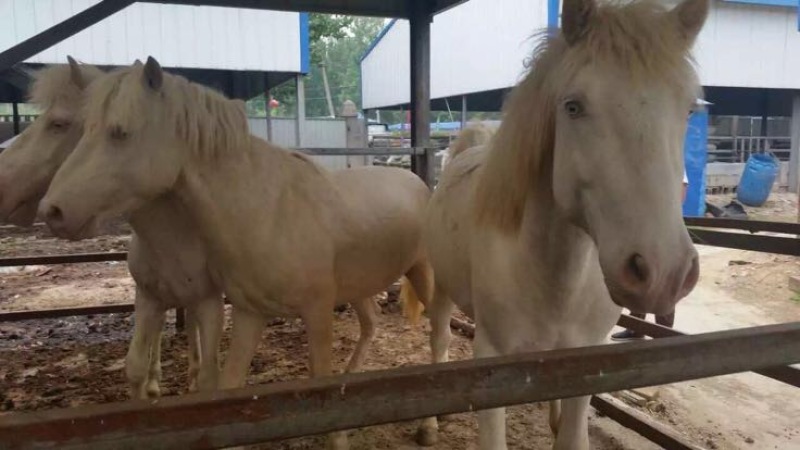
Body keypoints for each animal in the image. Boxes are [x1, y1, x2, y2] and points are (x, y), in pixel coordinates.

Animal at [39, 58, 433, 450]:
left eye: (120, 132)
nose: (52, 210)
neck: (271, 211)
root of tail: (417, 182)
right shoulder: (249, 313)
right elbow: (230, 386)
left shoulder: (317, 312)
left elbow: (322, 383)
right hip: (358, 289)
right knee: (371, 326)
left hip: (425, 278)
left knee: (437, 335)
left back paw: (427, 426)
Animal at [406, 0, 708, 448]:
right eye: (573, 106)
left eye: (689, 108)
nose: (663, 273)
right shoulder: (491, 361)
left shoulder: (584, 365)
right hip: (442, 287)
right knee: (439, 338)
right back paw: (429, 423)